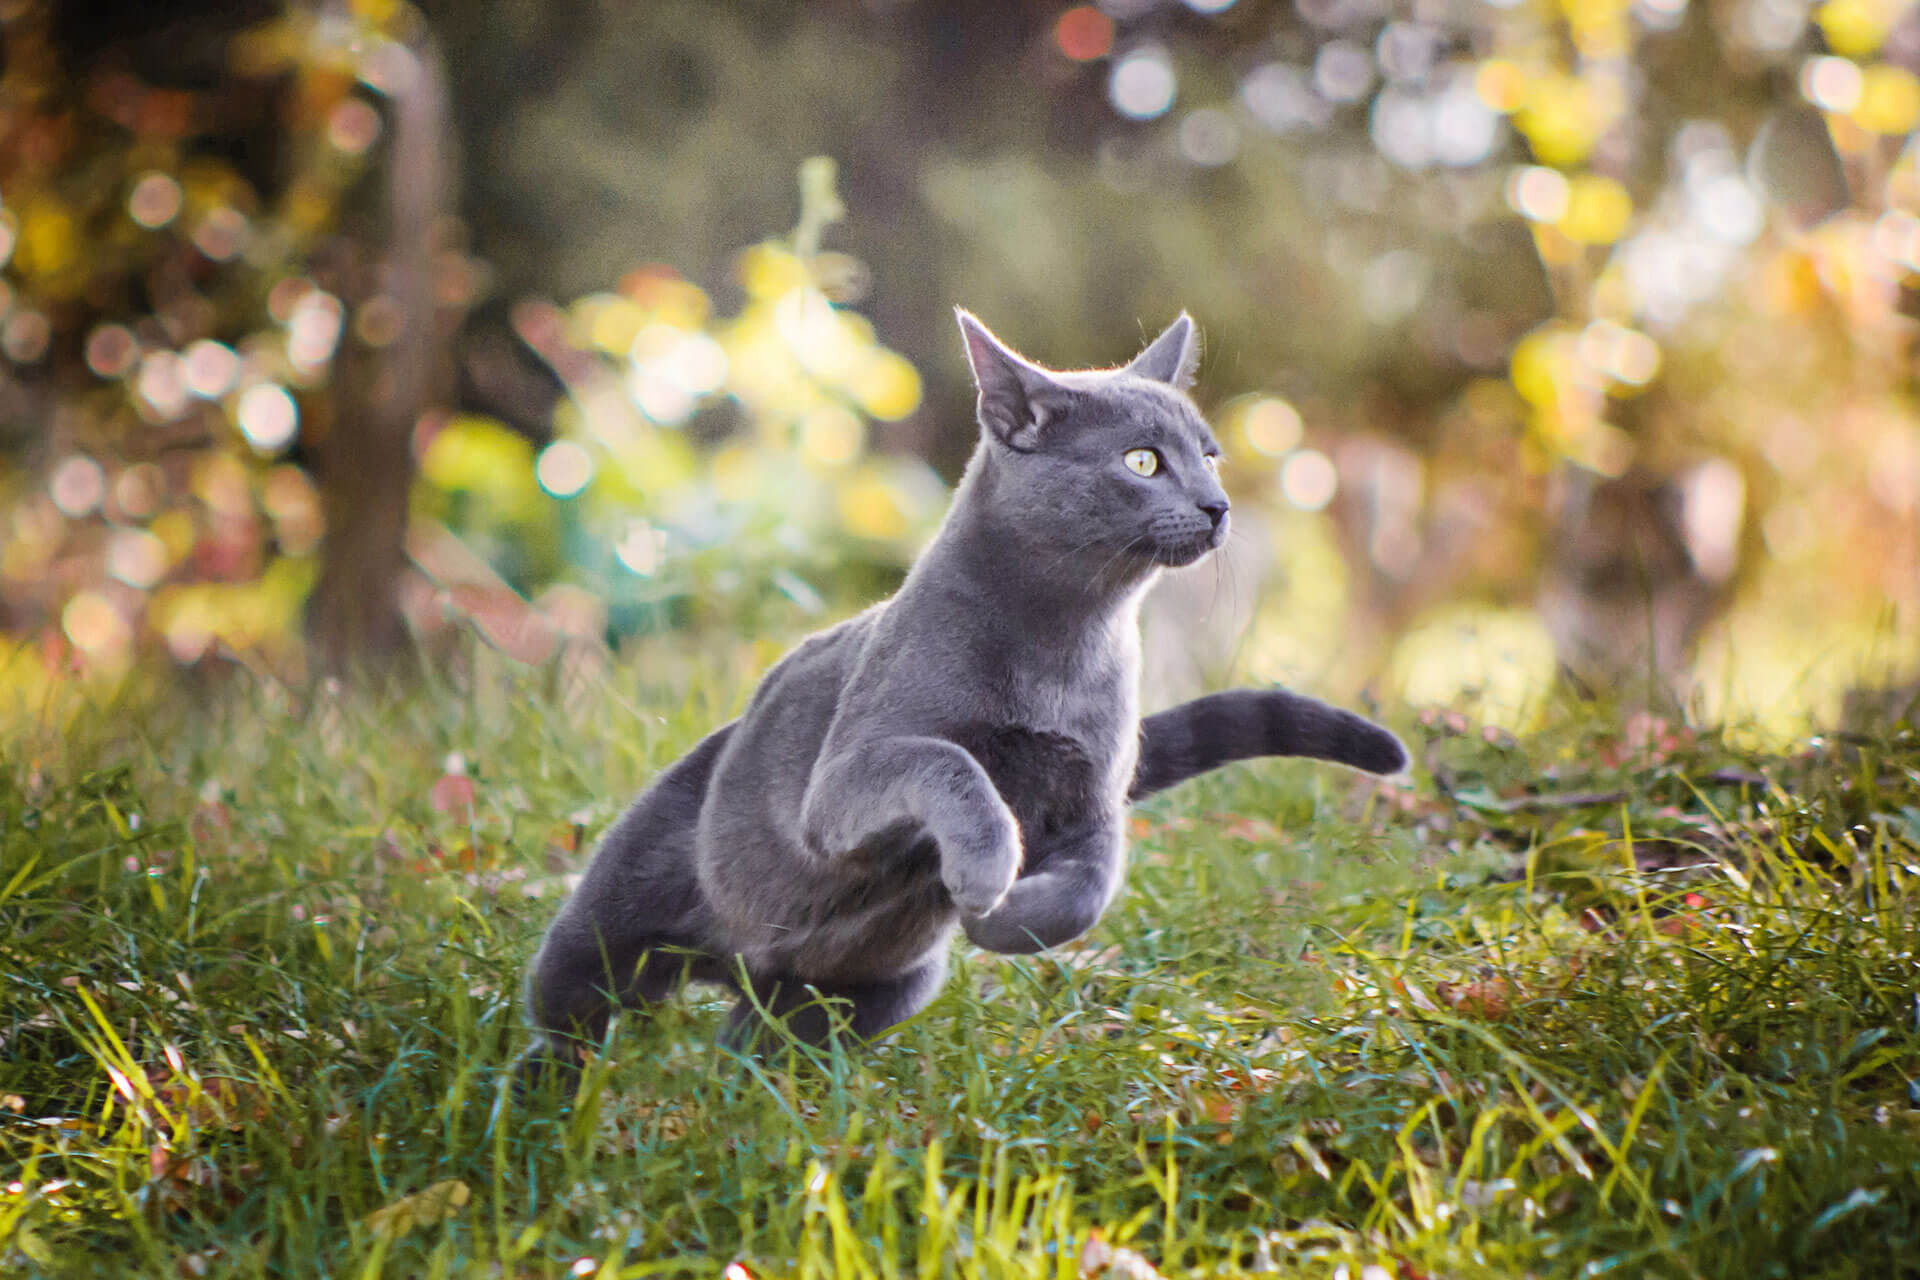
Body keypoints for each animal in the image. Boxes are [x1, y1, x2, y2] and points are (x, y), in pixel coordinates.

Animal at [518, 310, 1405, 1074]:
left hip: (867, 990)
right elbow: (947, 760)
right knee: (572, 999)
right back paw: (548, 1088)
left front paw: (1006, 919)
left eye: (1210, 455)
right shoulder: (843, 783)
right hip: (618, 912)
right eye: (1144, 461)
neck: (1061, 644)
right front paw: (984, 870)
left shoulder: (1091, 800)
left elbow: (1089, 889)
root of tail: (736, 966)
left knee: (760, 1046)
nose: (1217, 506)